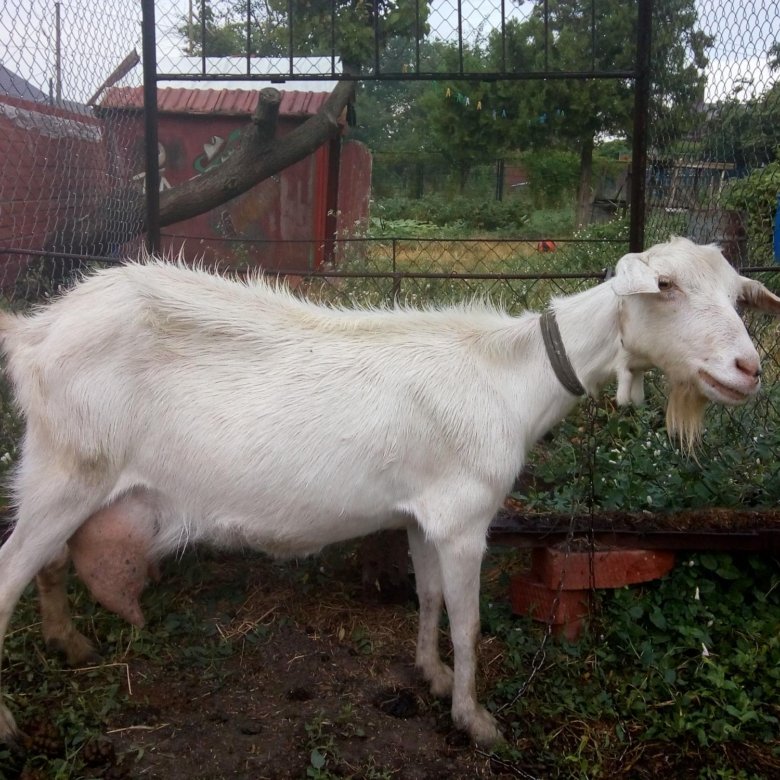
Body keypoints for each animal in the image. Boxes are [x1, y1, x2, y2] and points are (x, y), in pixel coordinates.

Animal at [1, 236, 780, 744]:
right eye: (667, 288)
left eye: (737, 295)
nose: (749, 369)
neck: (511, 375)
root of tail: (35, 332)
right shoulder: (465, 519)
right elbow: (468, 621)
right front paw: (475, 720)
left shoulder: (423, 514)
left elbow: (429, 597)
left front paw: (429, 675)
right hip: (67, 470)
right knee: (12, 569)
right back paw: (10, 721)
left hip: (64, 475)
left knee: (50, 562)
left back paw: (70, 644)